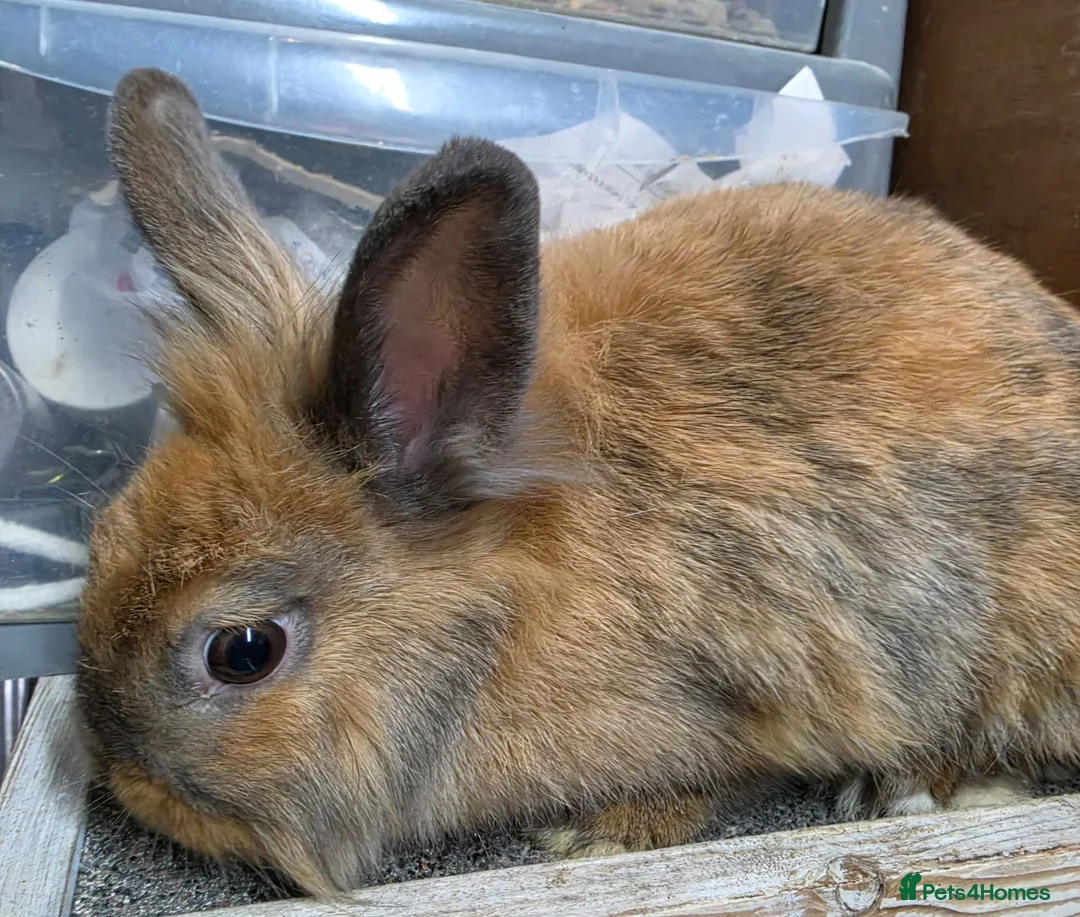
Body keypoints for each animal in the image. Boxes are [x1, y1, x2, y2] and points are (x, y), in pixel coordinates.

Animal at [77, 65, 1080, 899]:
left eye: (242, 650)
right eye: (99, 540)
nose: (119, 776)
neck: (498, 611)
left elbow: (727, 771)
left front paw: (598, 837)